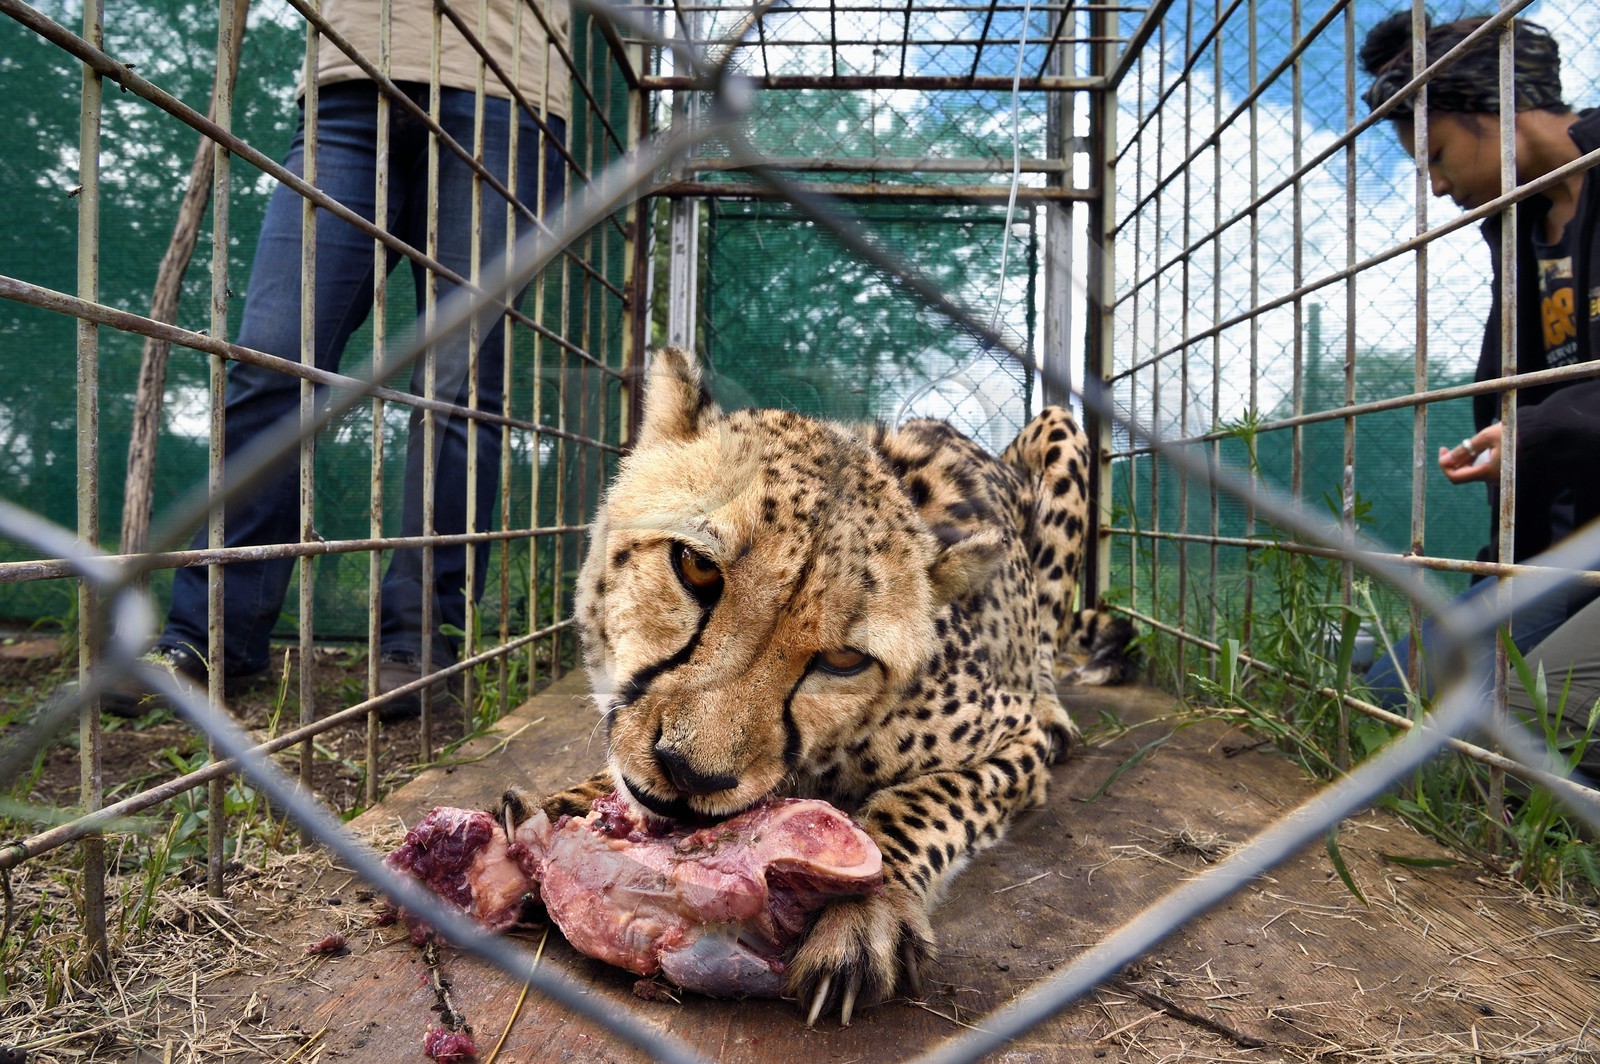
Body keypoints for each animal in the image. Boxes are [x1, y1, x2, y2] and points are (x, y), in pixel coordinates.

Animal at [501, 346, 1134, 1025]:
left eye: (843, 659)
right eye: (696, 566)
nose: (689, 775)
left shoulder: (1016, 740)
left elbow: (923, 800)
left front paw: (866, 908)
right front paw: (559, 809)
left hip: (1061, 431)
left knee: (1044, 635)